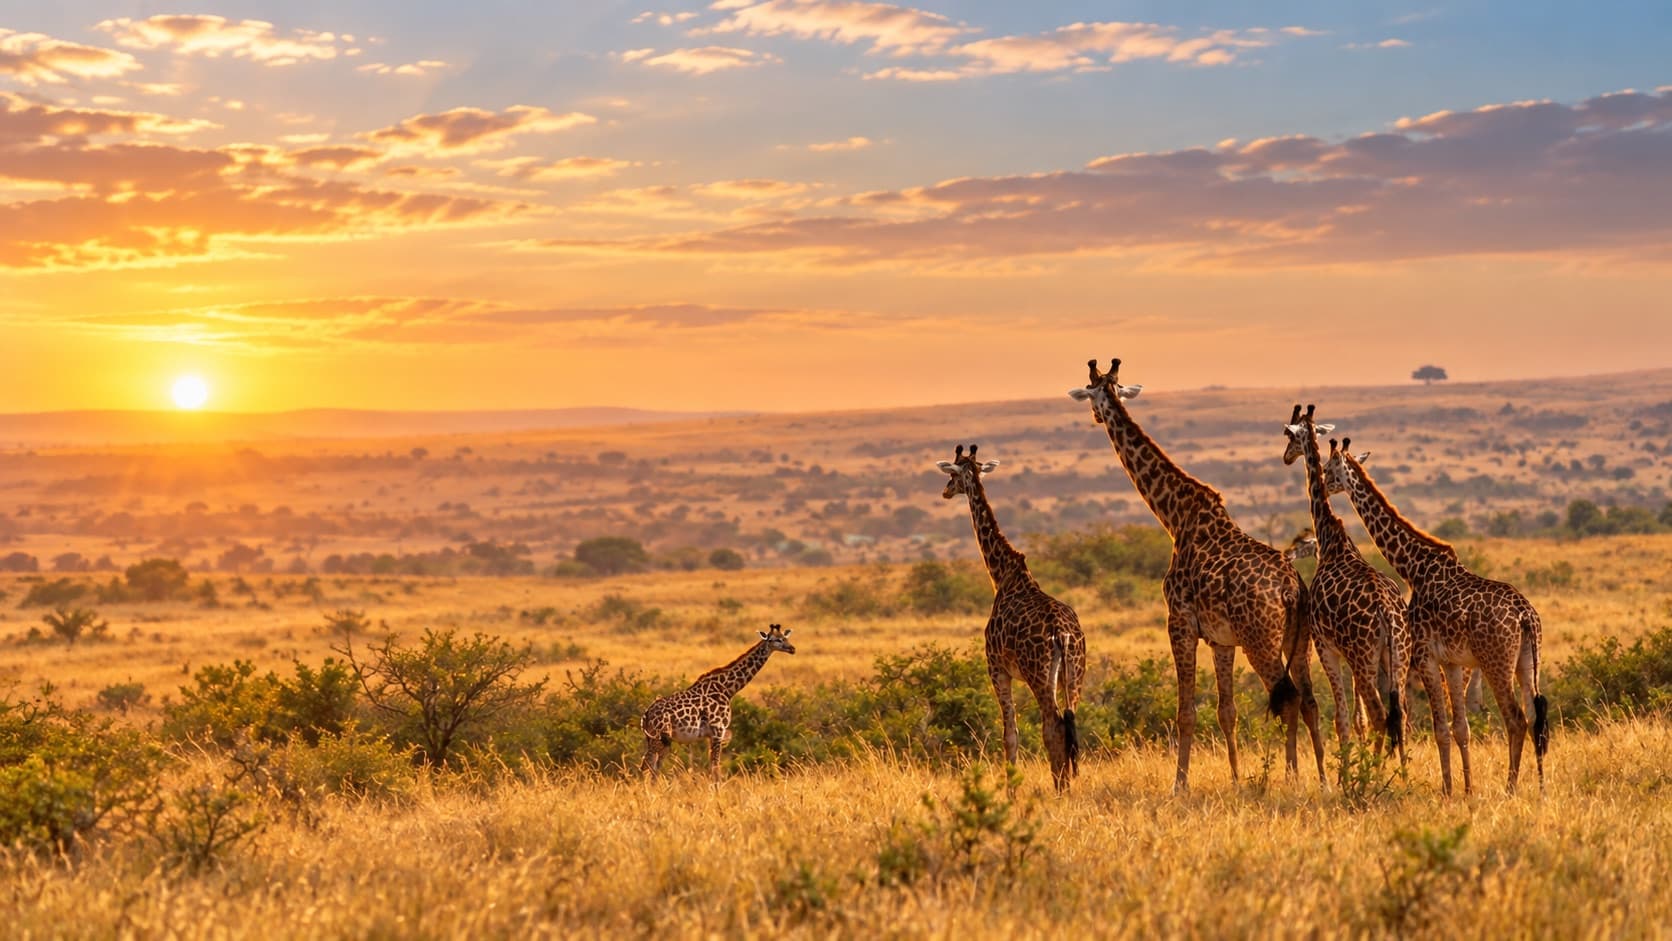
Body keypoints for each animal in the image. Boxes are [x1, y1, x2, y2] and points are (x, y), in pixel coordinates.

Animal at [639, 624, 796, 780]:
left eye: (785, 637)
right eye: (775, 640)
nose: (792, 648)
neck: (727, 689)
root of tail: (647, 713)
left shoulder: (712, 734)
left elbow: (713, 767)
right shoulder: (718, 730)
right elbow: (716, 768)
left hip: (659, 738)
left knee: (652, 766)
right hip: (658, 737)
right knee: (647, 763)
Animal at [936, 443, 1086, 792]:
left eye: (953, 474)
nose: (945, 491)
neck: (1003, 574)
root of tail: (1062, 634)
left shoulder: (997, 669)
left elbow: (1010, 735)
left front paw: (1010, 790)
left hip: (1038, 675)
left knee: (1052, 726)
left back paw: (1059, 789)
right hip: (1075, 673)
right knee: (1071, 723)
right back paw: (1067, 785)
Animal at [1069, 359, 1325, 792]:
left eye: (1092, 394)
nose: (1094, 416)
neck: (1175, 516)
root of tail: (1292, 589)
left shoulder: (1180, 622)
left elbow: (1185, 712)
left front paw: (1179, 785)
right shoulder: (1221, 639)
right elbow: (1227, 710)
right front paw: (1236, 779)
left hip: (1261, 641)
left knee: (1287, 697)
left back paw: (1291, 775)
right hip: (1299, 640)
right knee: (1308, 699)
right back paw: (1321, 776)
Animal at [1277, 406, 1412, 763]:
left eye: (1289, 436)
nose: (1286, 457)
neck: (1330, 538)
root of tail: (1386, 614)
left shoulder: (1326, 646)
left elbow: (1342, 719)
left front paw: (1347, 771)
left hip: (1363, 657)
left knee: (1380, 714)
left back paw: (1373, 772)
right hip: (1398, 656)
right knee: (1401, 714)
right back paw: (1400, 771)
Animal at [1325, 437, 1549, 794]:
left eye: (1330, 468)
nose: (1323, 483)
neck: (1414, 568)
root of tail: (1526, 615)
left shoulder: (1426, 655)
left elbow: (1440, 728)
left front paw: (1447, 790)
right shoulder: (1452, 662)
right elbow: (1459, 727)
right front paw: (1465, 788)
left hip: (1497, 662)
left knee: (1516, 719)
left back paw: (1510, 786)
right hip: (1527, 660)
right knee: (1535, 713)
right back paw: (1540, 787)